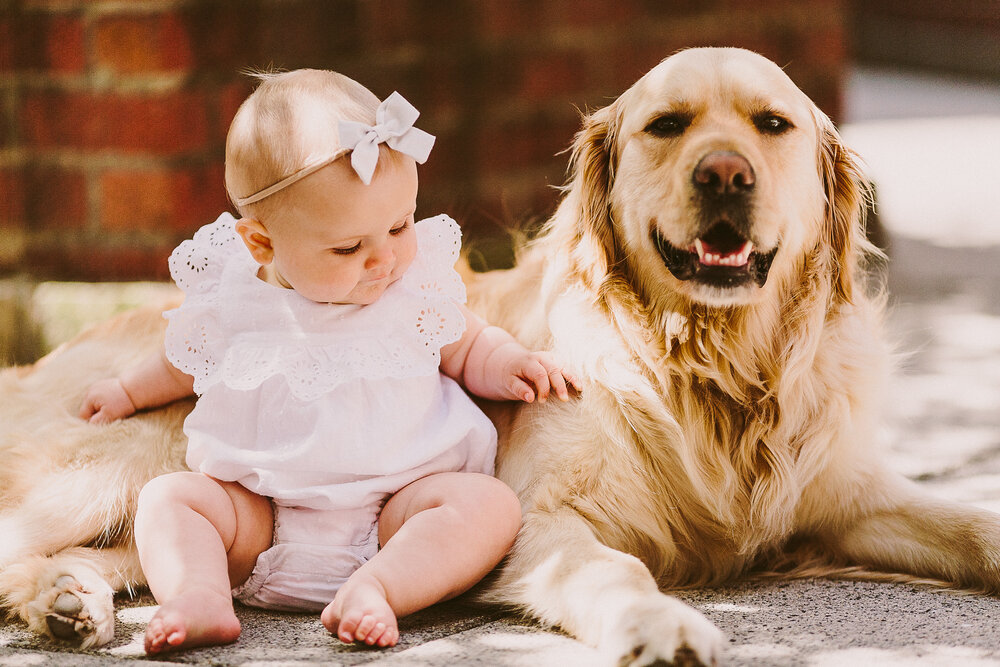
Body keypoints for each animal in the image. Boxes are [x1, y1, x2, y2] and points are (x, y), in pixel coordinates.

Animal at [1, 48, 1000, 667]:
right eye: (669, 125)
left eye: (773, 125)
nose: (725, 175)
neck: (708, 367)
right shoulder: (545, 521)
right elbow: (612, 568)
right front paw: (661, 623)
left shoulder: (844, 493)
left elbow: (970, 524)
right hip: (138, 448)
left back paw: (75, 600)